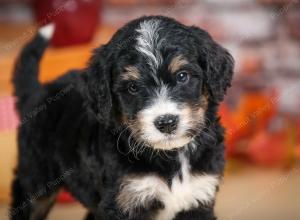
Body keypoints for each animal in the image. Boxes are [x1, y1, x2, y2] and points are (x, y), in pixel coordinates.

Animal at [10, 15, 233, 220]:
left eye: (182, 76)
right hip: (35, 180)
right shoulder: (125, 200)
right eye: (133, 87)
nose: (166, 123)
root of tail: (37, 91)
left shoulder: (199, 196)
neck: (170, 156)